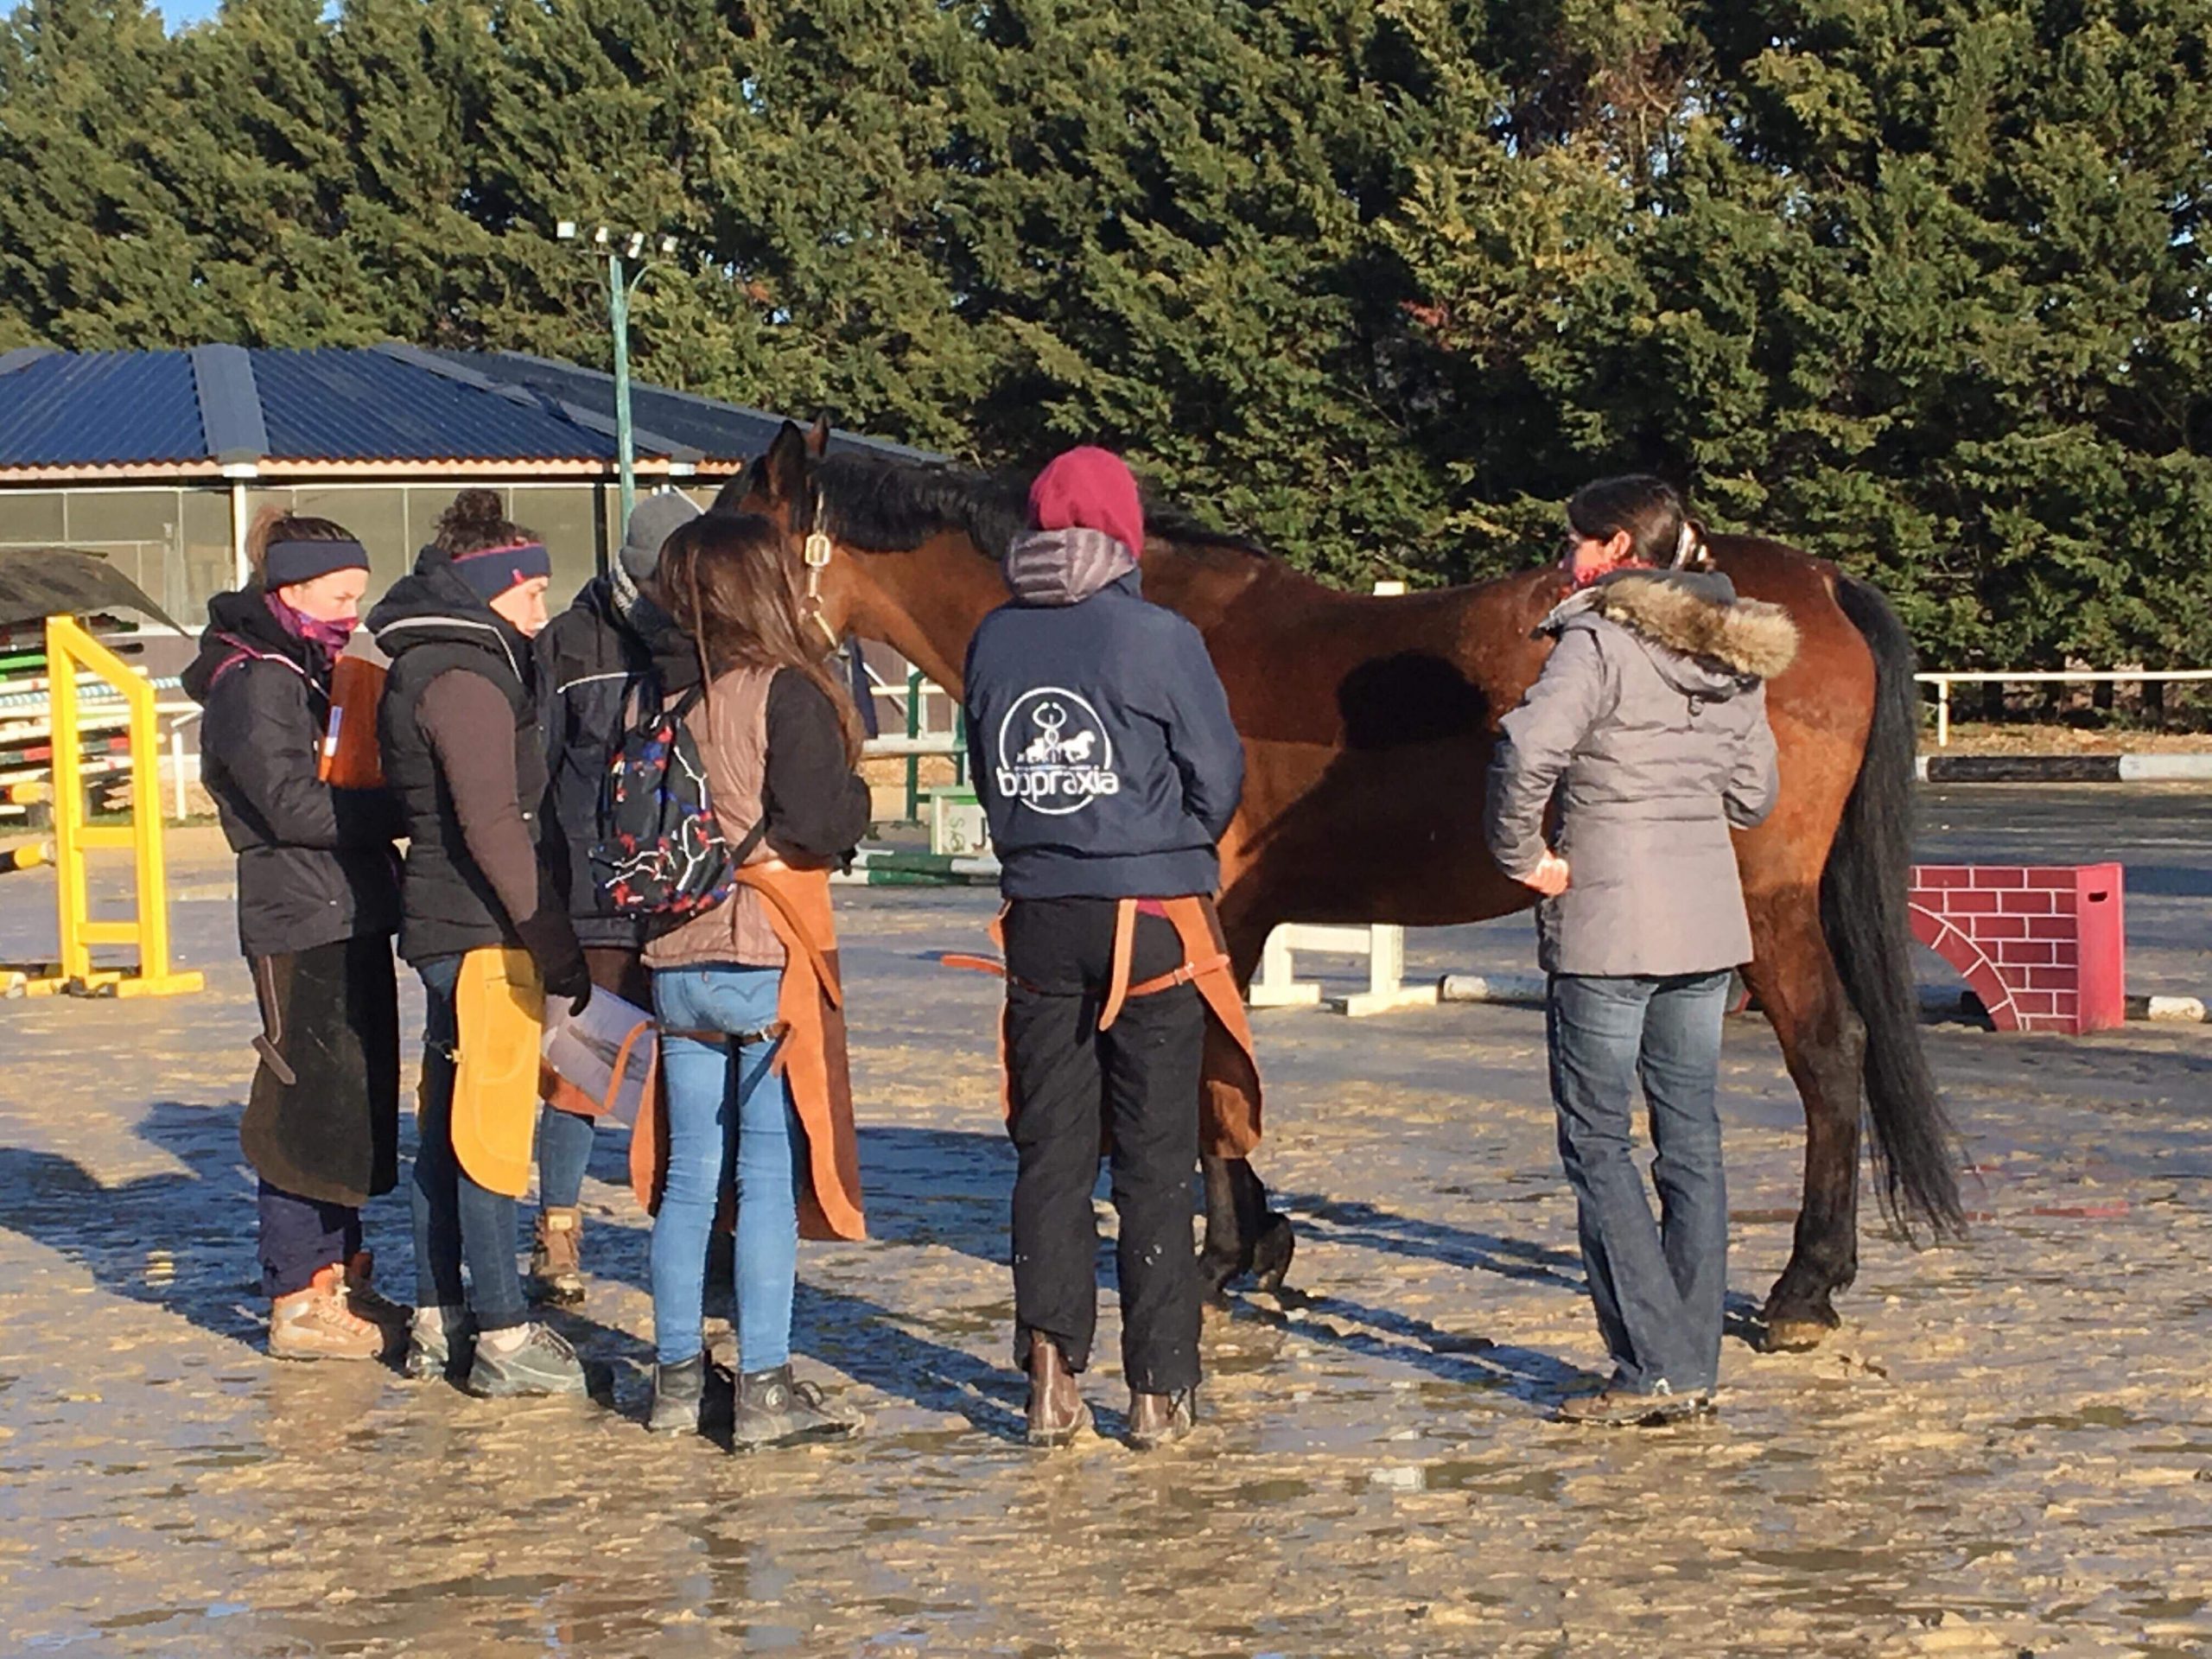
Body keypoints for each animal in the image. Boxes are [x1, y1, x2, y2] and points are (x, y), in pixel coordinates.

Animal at [734, 416, 1964, 1353]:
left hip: (1770, 902)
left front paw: (1232, 1257)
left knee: (1828, 1055)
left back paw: (1802, 1289)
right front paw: (1262, 1245)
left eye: (729, 529)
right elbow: (1223, 1075)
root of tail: (1817, 585)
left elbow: (1209, 1081)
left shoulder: (1200, 912)